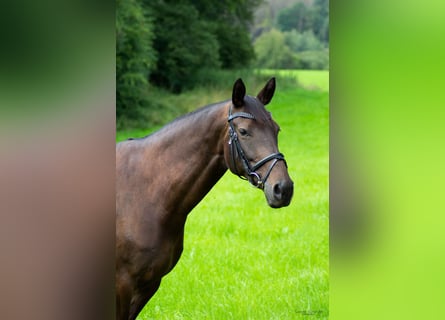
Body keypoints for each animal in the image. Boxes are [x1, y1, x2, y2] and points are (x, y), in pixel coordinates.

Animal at [116, 78, 294, 320]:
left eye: (277, 129)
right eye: (244, 131)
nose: (283, 189)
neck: (143, 194)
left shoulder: (149, 285)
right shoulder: (122, 285)